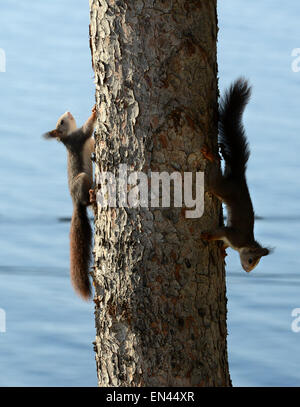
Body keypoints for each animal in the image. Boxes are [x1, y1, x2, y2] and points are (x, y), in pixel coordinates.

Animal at [43, 107, 96, 302]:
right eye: (61, 122)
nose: (68, 112)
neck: (67, 137)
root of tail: (76, 202)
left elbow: (93, 141)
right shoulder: (79, 137)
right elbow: (88, 128)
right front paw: (95, 111)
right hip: (82, 179)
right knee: (87, 199)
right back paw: (91, 196)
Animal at [200, 78, 270, 272]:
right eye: (251, 260)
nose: (247, 270)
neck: (244, 244)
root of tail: (239, 176)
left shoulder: (231, 240)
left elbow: (224, 244)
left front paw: (222, 252)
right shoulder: (232, 235)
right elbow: (220, 232)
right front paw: (207, 237)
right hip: (222, 187)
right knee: (214, 172)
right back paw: (210, 155)